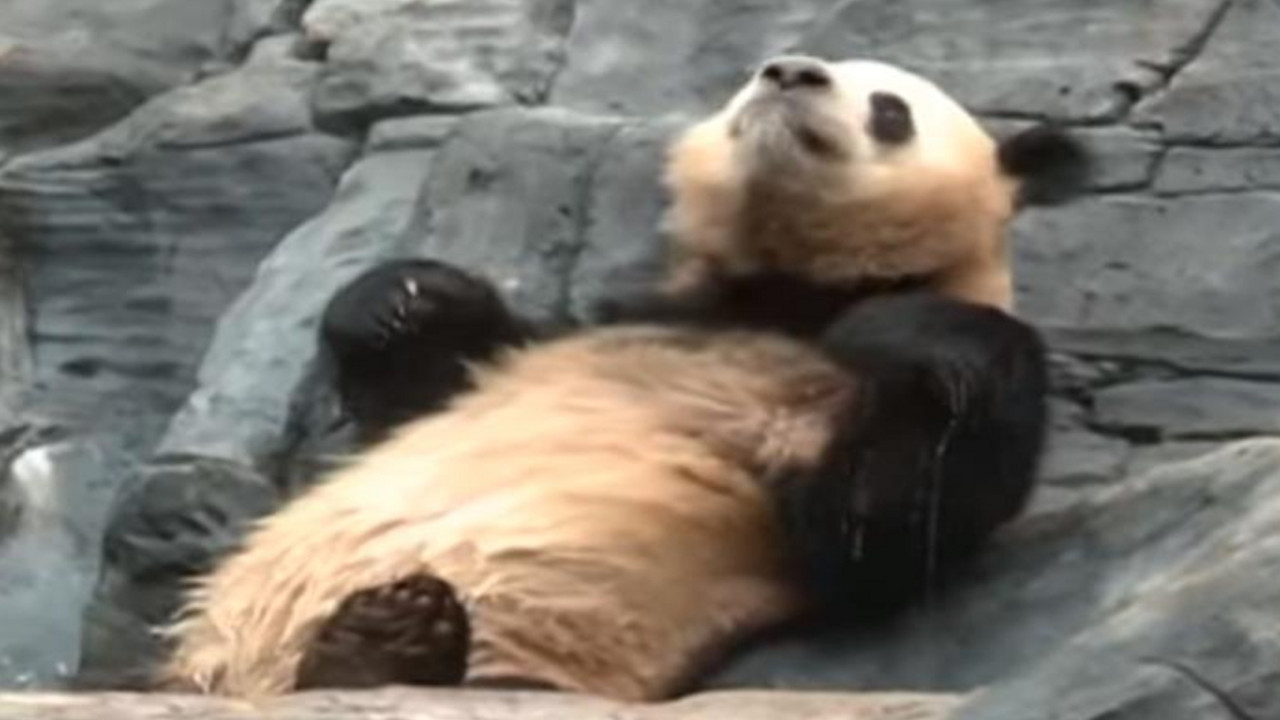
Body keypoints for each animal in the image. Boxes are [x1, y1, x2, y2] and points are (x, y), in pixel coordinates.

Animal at [160, 55, 1087, 701]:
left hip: (537, 662)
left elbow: (879, 522)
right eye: (751, 80)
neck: (792, 284)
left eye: (892, 109)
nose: (790, 71)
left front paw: (917, 335)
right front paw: (401, 298)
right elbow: (430, 383)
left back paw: (384, 646)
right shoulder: (617, 322)